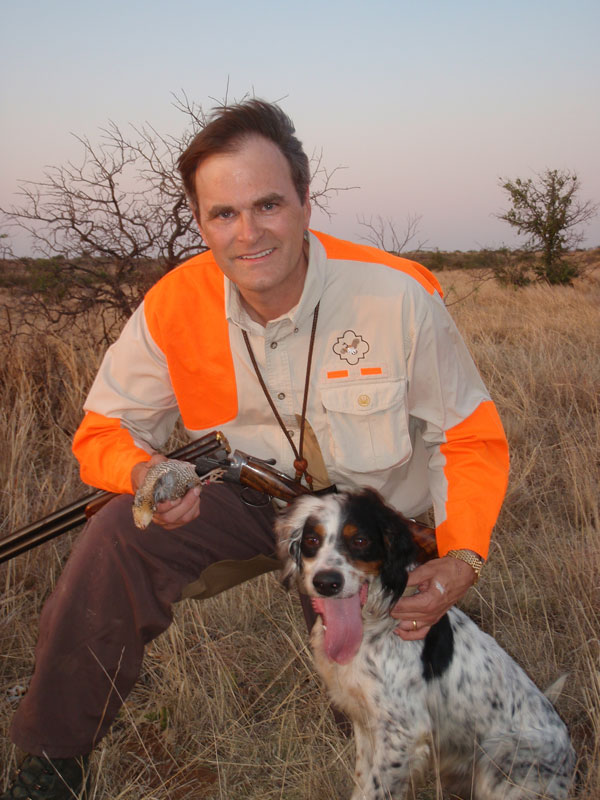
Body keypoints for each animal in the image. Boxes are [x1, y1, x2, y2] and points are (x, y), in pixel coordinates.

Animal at [276, 488, 576, 800]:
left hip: (500, 762)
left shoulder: (402, 732)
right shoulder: (366, 722)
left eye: (360, 540)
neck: (372, 625)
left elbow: (375, 789)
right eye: (312, 540)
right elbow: (362, 782)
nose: (326, 582)